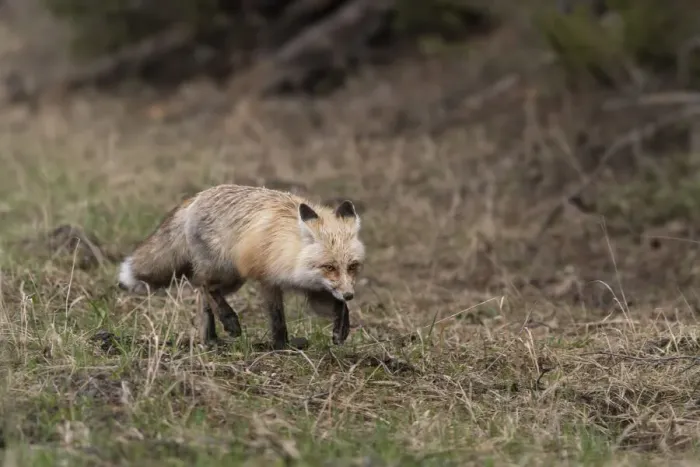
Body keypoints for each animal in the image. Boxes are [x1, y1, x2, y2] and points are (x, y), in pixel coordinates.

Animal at [117, 184, 365, 350]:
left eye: (352, 266)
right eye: (329, 267)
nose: (350, 294)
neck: (293, 254)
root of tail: (197, 197)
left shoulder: (315, 290)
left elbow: (339, 307)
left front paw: (341, 329)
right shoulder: (268, 280)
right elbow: (277, 319)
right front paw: (281, 347)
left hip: (231, 280)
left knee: (202, 297)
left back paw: (210, 338)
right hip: (229, 273)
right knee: (203, 285)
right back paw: (229, 322)